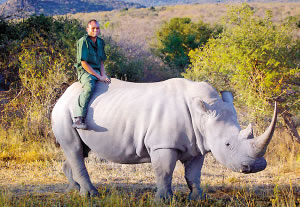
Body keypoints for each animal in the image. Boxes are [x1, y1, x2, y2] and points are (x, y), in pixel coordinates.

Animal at [51, 78, 276, 201]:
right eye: (228, 145)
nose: (257, 167)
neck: (204, 112)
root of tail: (63, 95)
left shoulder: (199, 144)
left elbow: (194, 174)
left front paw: (197, 198)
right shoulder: (162, 145)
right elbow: (165, 171)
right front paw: (164, 200)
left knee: (79, 151)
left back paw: (74, 189)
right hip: (63, 111)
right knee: (74, 149)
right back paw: (91, 195)